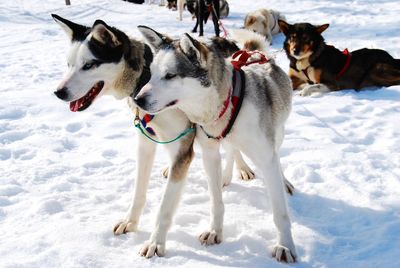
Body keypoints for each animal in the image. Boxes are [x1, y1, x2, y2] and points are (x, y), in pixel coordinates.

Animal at [51, 14, 255, 258]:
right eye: (69, 64)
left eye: (89, 65)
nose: (58, 92)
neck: (143, 78)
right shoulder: (146, 143)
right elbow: (139, 190)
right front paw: (130, 221)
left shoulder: (183, 148)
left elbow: (165, 206)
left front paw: (156, 242)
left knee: (232, 147)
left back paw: (240, 169)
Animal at [136, 26, 296, 262]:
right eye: (152, 72)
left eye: (170, 75)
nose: (138, 99)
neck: (226, 102)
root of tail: (255, 55)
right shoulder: (209, 153)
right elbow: (216, 202)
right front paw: (215, 231)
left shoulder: (266, 158)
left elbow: (280, 212)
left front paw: (285, 246)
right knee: (232, 150)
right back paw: (227, 176)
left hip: (279, 133)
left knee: (274, 156)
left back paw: (282, 181)